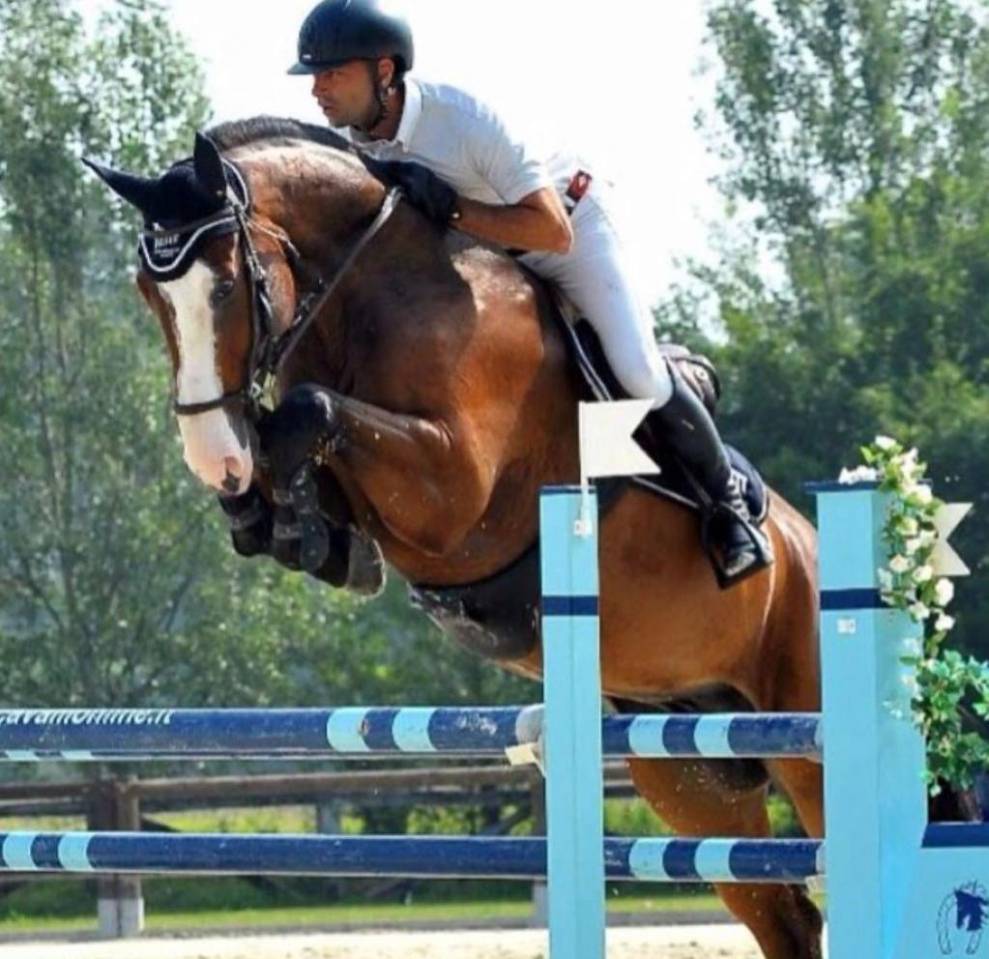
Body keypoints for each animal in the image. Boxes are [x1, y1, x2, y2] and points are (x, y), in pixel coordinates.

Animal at [86, 119, 824, 959]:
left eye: (223, 286)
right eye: (148, 293)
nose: (211, 453)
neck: (372, 294)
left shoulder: (453, 485)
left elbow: (307, 411)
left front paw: (288, 512)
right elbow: (288, 437)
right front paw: (283, 524)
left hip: (800, 728)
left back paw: (737, 531)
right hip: (687, 763)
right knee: (783, 913)